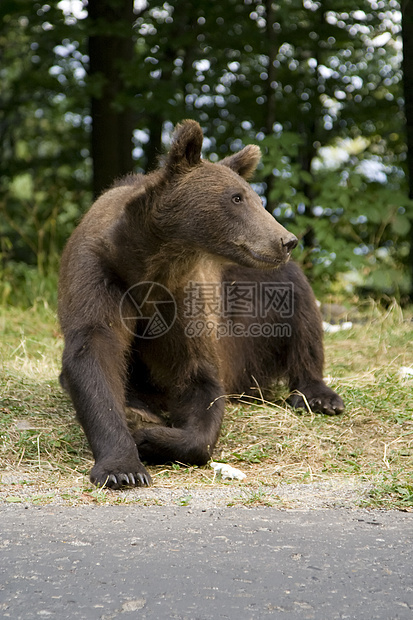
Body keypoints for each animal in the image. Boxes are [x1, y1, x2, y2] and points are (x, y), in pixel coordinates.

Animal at [57, 120, 342, 490]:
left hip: (256, 292)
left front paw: (150, 438)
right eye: (237, 197)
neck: (151, 263)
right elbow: (94, 352)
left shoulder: (185, 295)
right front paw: (123, 466)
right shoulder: (99, 274)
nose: (286, 240)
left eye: (254, 197)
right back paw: (137, 409)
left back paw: (319, 395)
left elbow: (197, 375)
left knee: (301, 311)